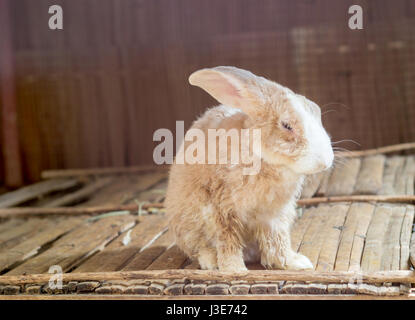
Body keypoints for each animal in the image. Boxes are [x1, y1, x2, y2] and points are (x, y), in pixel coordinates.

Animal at [166, 66, 334, 272]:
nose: (325, 161)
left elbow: (277, 239)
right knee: (200, 248)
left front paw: (295, 263)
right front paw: (234, 270)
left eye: (317, 111)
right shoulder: (220, 209)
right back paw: (211, 261)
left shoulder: (273, 215)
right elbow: (227, 240)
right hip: (190, 224)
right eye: (286, 125)